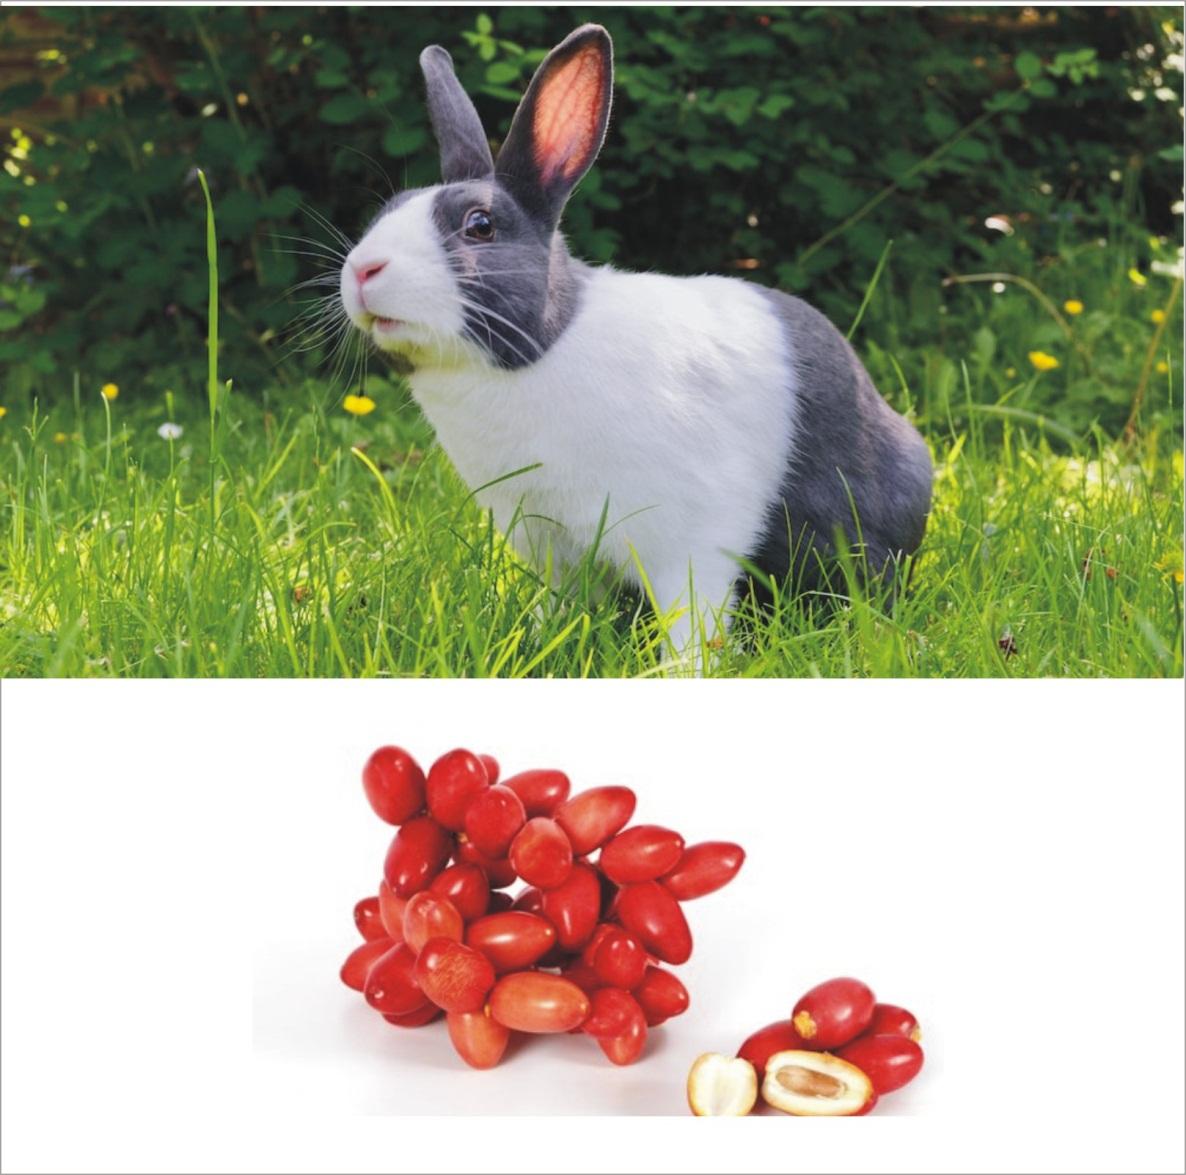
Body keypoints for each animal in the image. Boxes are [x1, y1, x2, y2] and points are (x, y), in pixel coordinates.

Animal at [339, 24, 933, 661]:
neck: (541, 351)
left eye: (480, 225)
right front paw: (539, 642)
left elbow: (693, 614)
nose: (363, 270)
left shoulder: (689, 539)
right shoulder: (552, 544)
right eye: (385, 210)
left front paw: (682, 670)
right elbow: (562, 603)